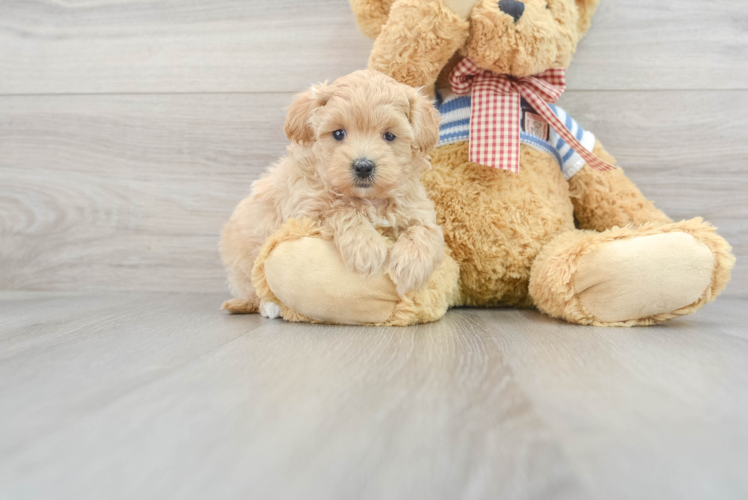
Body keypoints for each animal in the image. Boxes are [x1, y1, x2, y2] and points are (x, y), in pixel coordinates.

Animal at [221, 69, 444, 316]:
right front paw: (366, 248)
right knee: (253, 289)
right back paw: (268, 306)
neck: (368, 198)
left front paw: (410, 266)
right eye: (338, 133)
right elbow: (340, 208)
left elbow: (427, 232)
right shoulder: (305, 211)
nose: (363, 166)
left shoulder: (417, 210)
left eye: (389, 136)